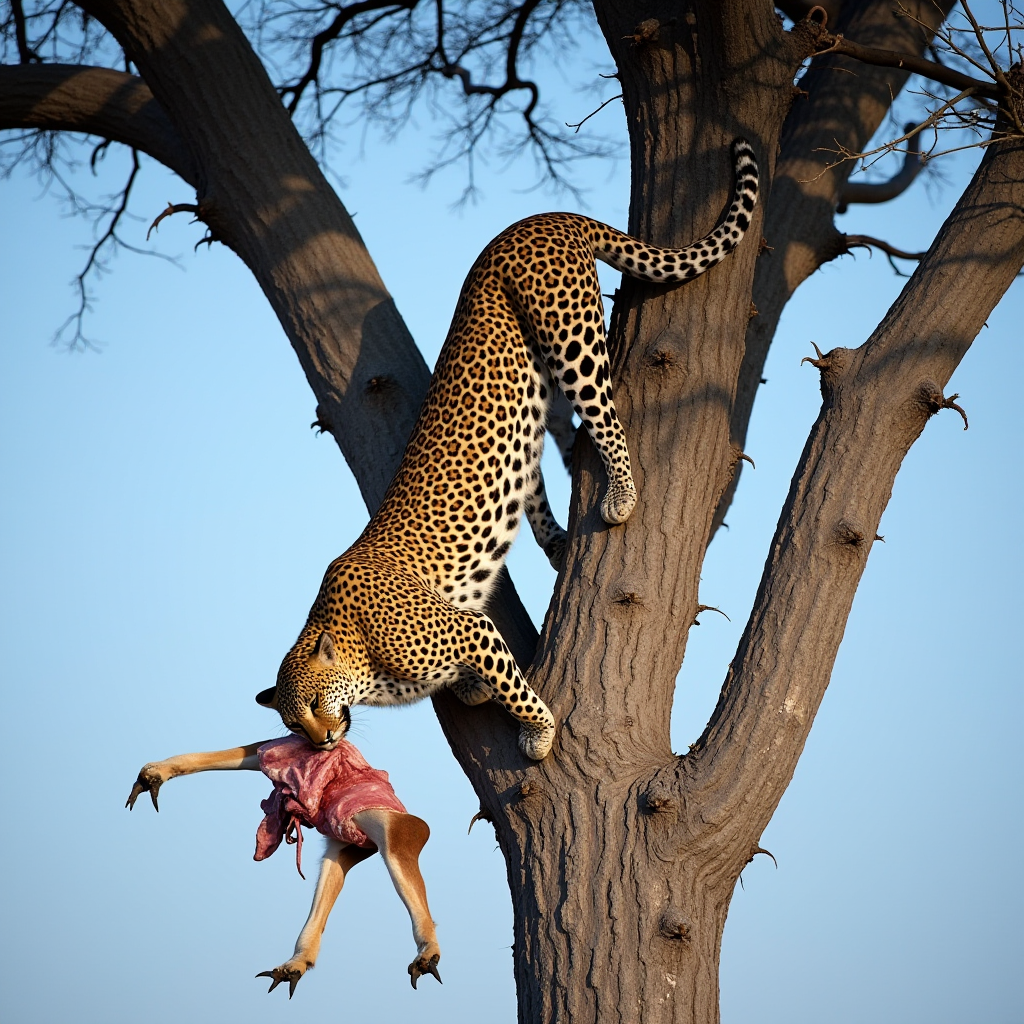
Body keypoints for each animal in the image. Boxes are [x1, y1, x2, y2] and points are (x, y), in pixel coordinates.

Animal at [256, 139, 759, 761]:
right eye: (291, 724)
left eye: (314, 703)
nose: (322, 743)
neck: (359, 661)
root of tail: (535, 220)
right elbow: (480, 682)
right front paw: (473, 690)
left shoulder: (469, 629)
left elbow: (514, 689)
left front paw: (539, 734)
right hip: (534, 406)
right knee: (544, 469)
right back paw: (561, 542)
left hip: (570, 335)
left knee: (604, 414)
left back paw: (620, 497)